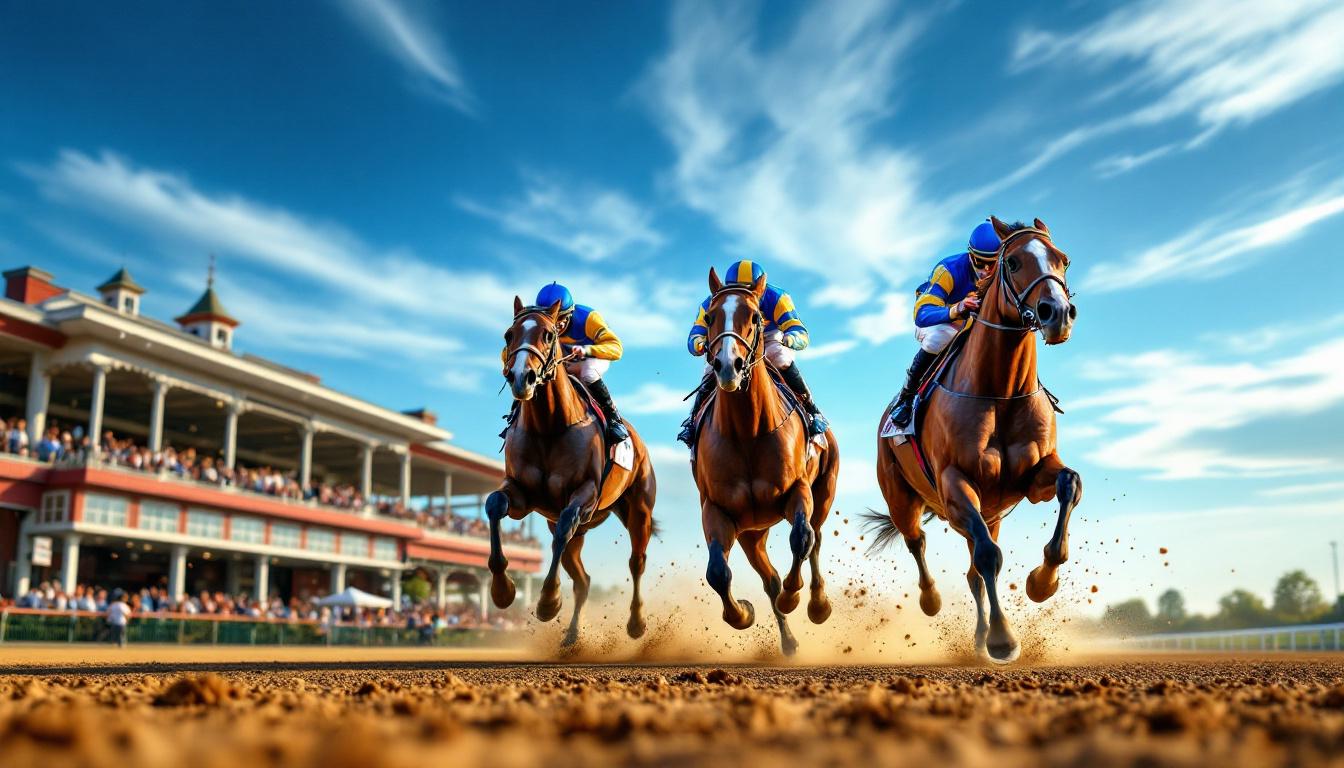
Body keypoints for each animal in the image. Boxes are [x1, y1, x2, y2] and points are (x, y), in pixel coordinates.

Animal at [485, 297, 657, 647]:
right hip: (582, 529)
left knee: (636, 563)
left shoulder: (584, 496)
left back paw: (636, 622)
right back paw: (572, 635)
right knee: (583, 578)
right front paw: (502, 590)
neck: (549, 427)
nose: (520, 377)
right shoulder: (522, 495)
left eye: (549, 335)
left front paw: (549, 601)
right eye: (509, 335)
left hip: (639, 511)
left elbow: (565, 525)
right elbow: (494, 504)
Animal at [692, 267, 840, 655]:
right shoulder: (716, 509)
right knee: (768, 576)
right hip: (752, 532)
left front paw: (795, 596)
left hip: (824, 490)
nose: (727, 366)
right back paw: (788, 641)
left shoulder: (798, 490)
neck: (747, 433)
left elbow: (801, 538)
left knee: (816, 537)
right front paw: (742, 613)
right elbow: (717, 572)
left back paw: (817, 603)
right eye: (710, 317)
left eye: (756, 316)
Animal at [869, 217, 1081, 664]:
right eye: (1013, 262)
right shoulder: (955, 485)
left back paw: (979, 635)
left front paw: (1042, 583)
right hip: (904, 498)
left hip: (991, 512)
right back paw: (932, 600)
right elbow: (987, 556)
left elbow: (1069, 484)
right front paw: (1003, 639)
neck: (1000, 392)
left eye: (1063, 259)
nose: (1058, 313)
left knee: (973, 574)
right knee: (918, 541)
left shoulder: (1031, 478)